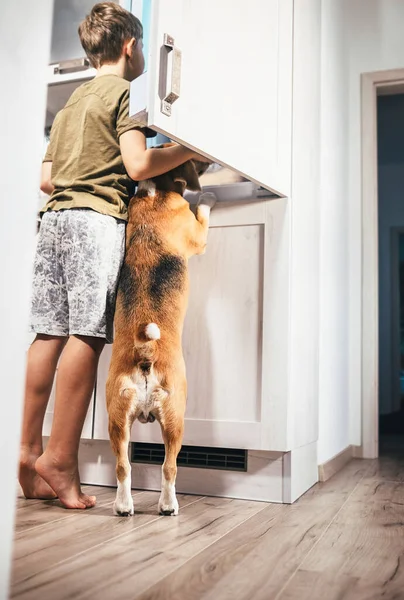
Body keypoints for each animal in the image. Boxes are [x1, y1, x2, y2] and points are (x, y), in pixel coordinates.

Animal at [106, 151, 215, 516]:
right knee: (169, 467)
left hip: (117, 419)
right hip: (175, 418)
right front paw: (208, 198)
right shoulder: (197, 235)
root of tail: (145, 353)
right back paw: (168, 505)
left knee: (122, 466)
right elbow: (203, 217)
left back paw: (123, 506)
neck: (154, 192)